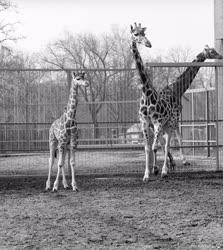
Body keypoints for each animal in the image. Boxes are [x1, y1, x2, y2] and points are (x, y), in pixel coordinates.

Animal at [131, 22, 176, 181]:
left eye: (144, 33)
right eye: (135, 34)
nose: (148, 44)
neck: (146, 94)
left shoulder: (158, 122)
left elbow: (154, 147)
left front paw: (160, 171)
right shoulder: (145, 123)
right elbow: (147, 148)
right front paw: (146, 175)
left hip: (170, 125)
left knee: (166, 145)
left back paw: (164, 171)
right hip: (159, 127)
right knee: (162, 144)